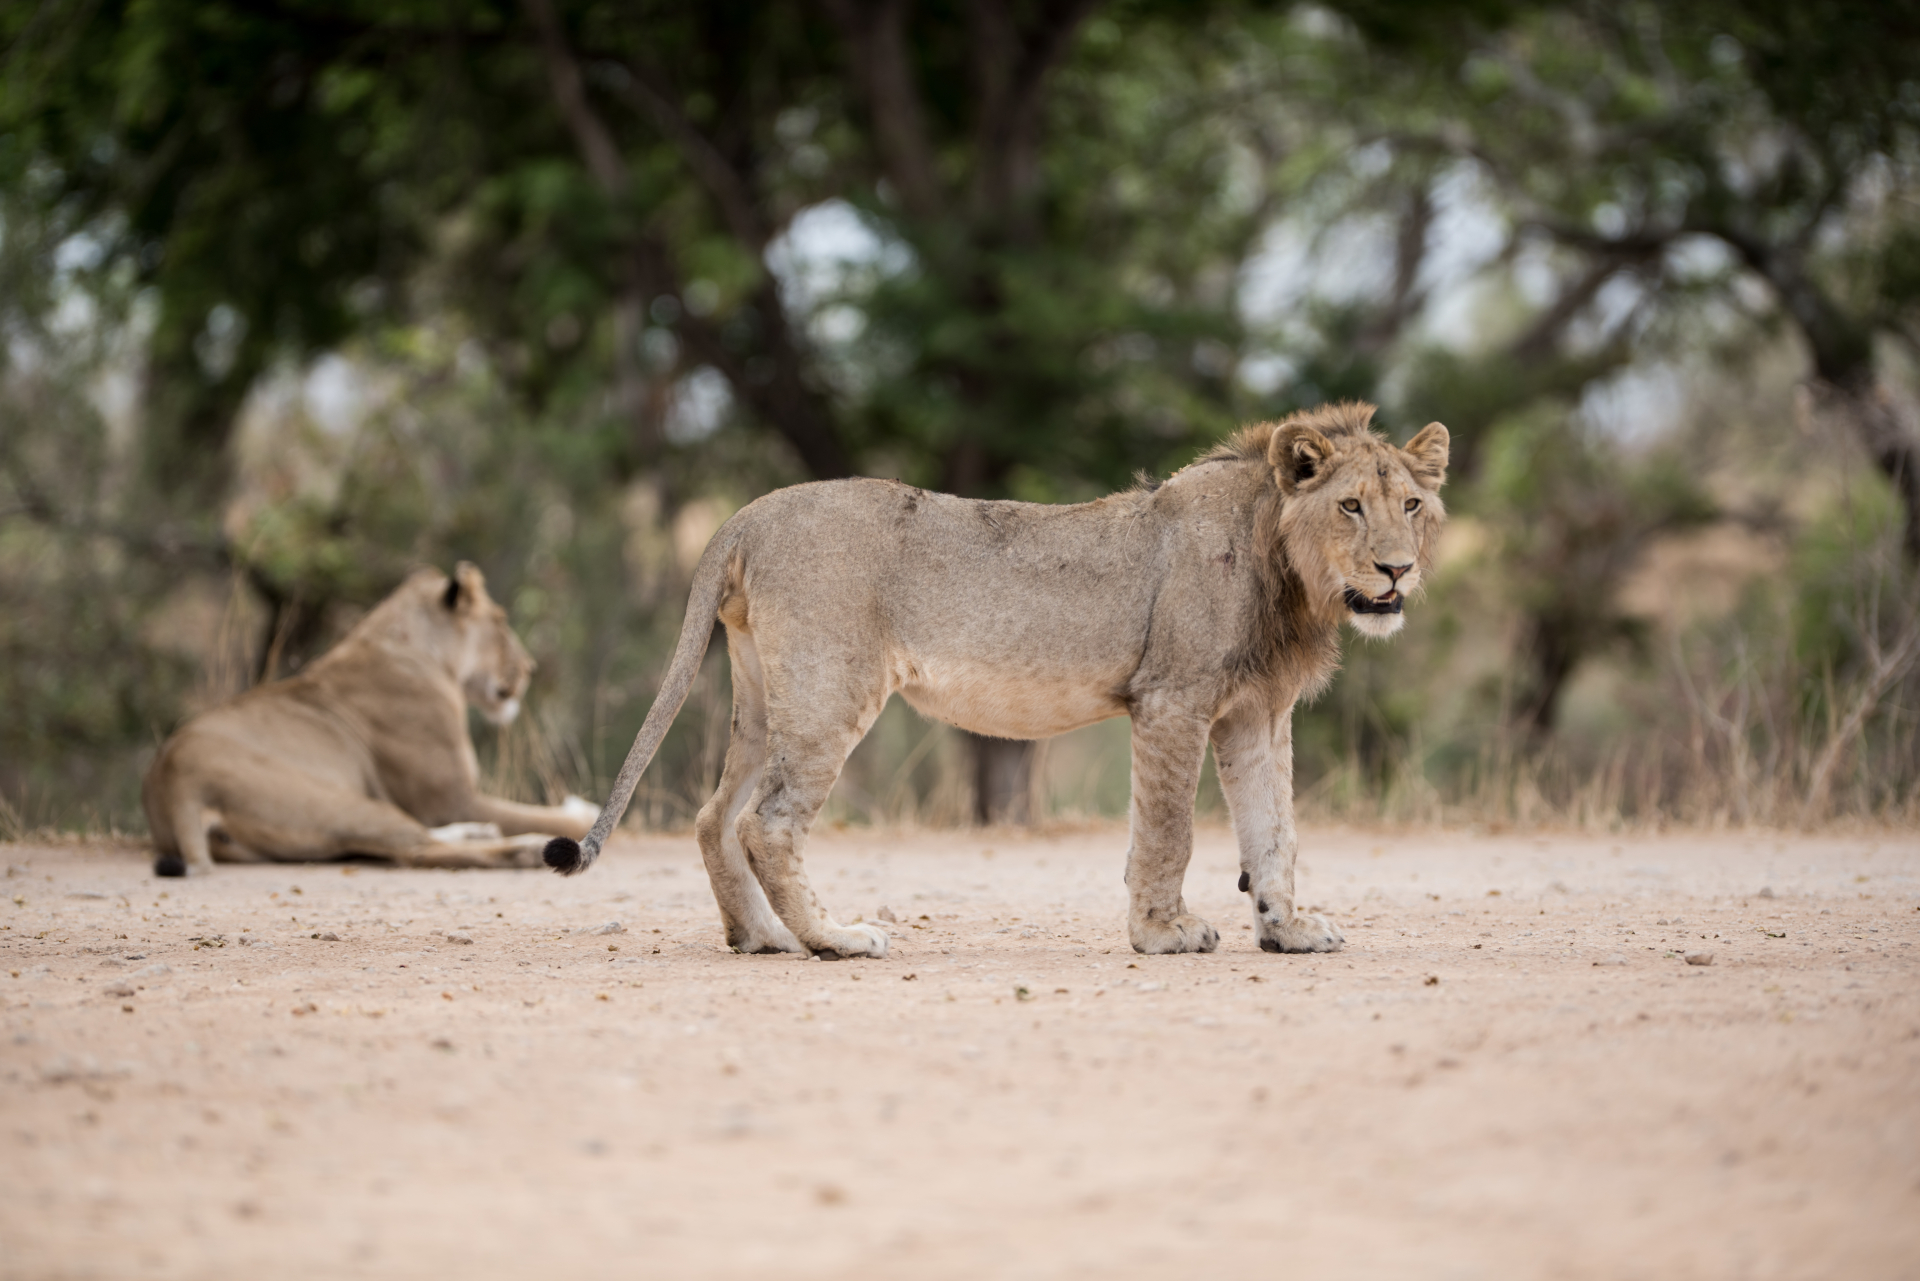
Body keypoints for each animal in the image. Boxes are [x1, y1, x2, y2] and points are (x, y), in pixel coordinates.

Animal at [143, 562, 600, 877]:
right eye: (502, 621)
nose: (530, 667)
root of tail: (172, 784)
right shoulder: (451, 798)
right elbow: (542, 814)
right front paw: (580, 813)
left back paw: (481, 832)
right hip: (337, 802)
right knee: (417, 850)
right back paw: (527, 849)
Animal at [545, 401, 1448, 958]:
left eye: (1410, 505)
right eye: (1350, 506)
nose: (1396, 571)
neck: (1286, 569)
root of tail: (747, 513)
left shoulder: (1255, 713)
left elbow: (1276, 830)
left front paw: (1288, 928)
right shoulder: (1173, 699)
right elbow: (1169, 829)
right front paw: (1164, 932)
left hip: (766, 696)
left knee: (711, 815)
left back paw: (763, 937)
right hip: (832, 689)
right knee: (765, 823)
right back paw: (835, 938)